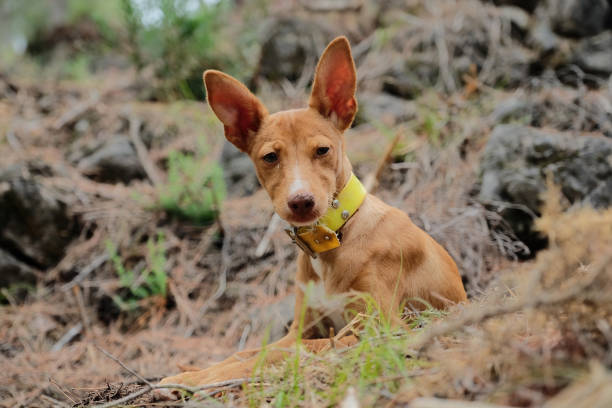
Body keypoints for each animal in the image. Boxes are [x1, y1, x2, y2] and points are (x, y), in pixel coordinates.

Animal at [155, 37, 466, 396]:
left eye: (322, 150)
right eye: (270, 157)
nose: (301, 202)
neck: (334, 237)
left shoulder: (380, 327)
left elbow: (277, 354)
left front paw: (197, 378)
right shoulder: (305, 328)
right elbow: (250, 351)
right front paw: (195, 372)